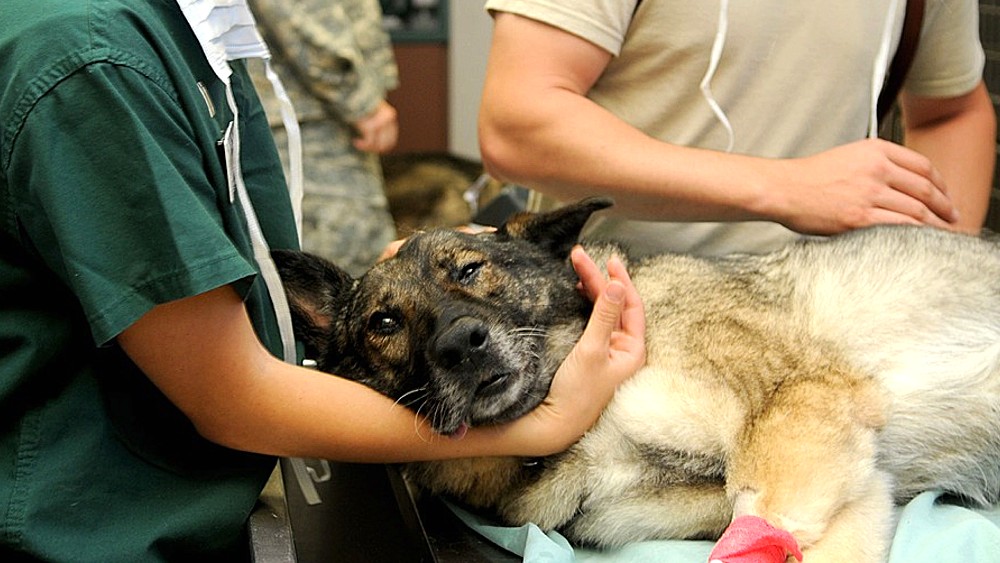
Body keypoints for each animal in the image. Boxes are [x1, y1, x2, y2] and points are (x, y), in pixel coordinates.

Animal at [274, 199, 1000, 563]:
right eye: (384, 321)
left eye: (471, 268)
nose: (460, 344)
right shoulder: (848, 479)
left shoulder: (801, 405)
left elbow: (766, 510)